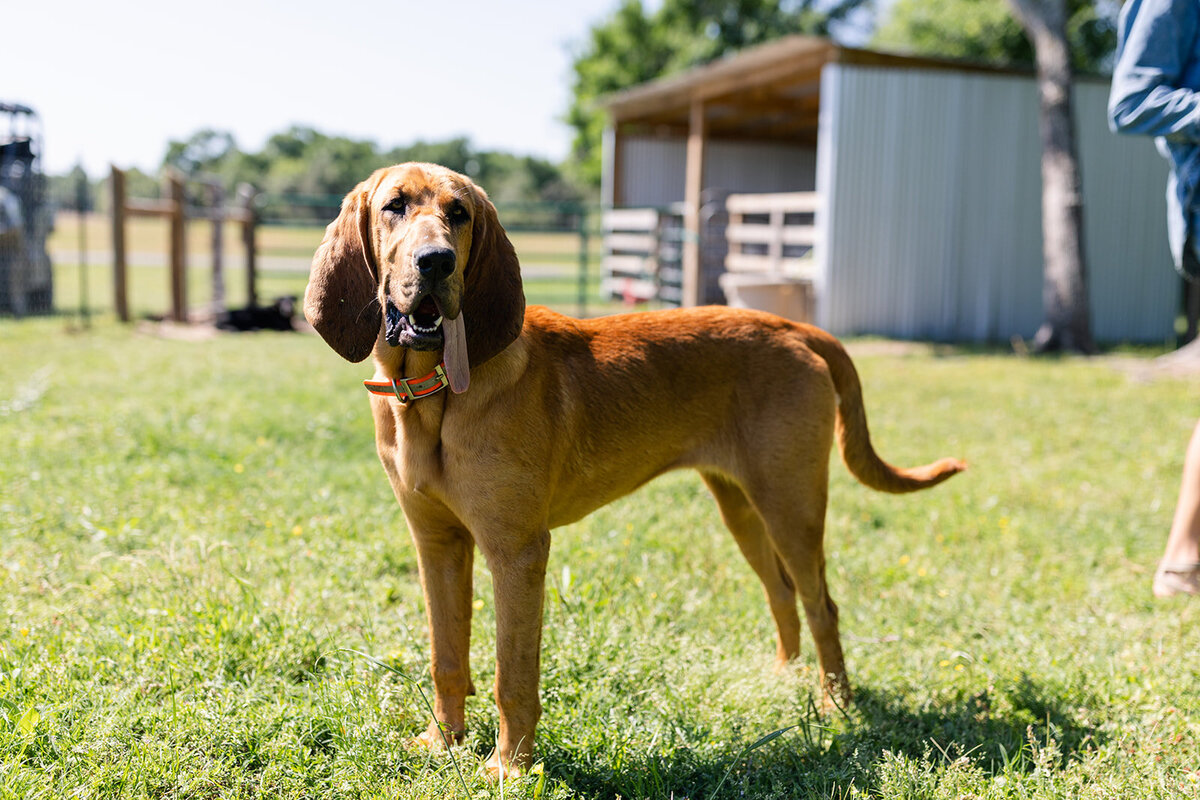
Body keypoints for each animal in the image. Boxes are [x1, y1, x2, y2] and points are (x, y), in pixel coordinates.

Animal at [302, 163, 964, 777]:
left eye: (459, 214)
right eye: (394, 206)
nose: (436, 262)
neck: (432, 390)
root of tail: (793, 326)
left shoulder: (516, 552)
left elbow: (512, 675)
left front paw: (509, 767)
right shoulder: (436, 544)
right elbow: (447, 658)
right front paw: (443, 743)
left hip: (792, 506)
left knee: (821, 604)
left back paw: (835, 707)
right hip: (741, 504)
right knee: (780, 592)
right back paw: (784, 679)